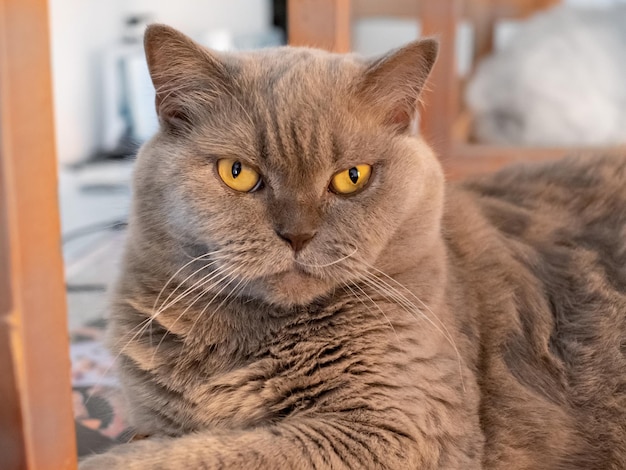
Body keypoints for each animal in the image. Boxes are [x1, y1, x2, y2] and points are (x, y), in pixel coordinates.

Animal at [80, 23, 624, 470]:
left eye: (351, 177)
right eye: (237, 173)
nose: (297, 234)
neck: (245, 339)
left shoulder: (398, 426)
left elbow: (216, 454)